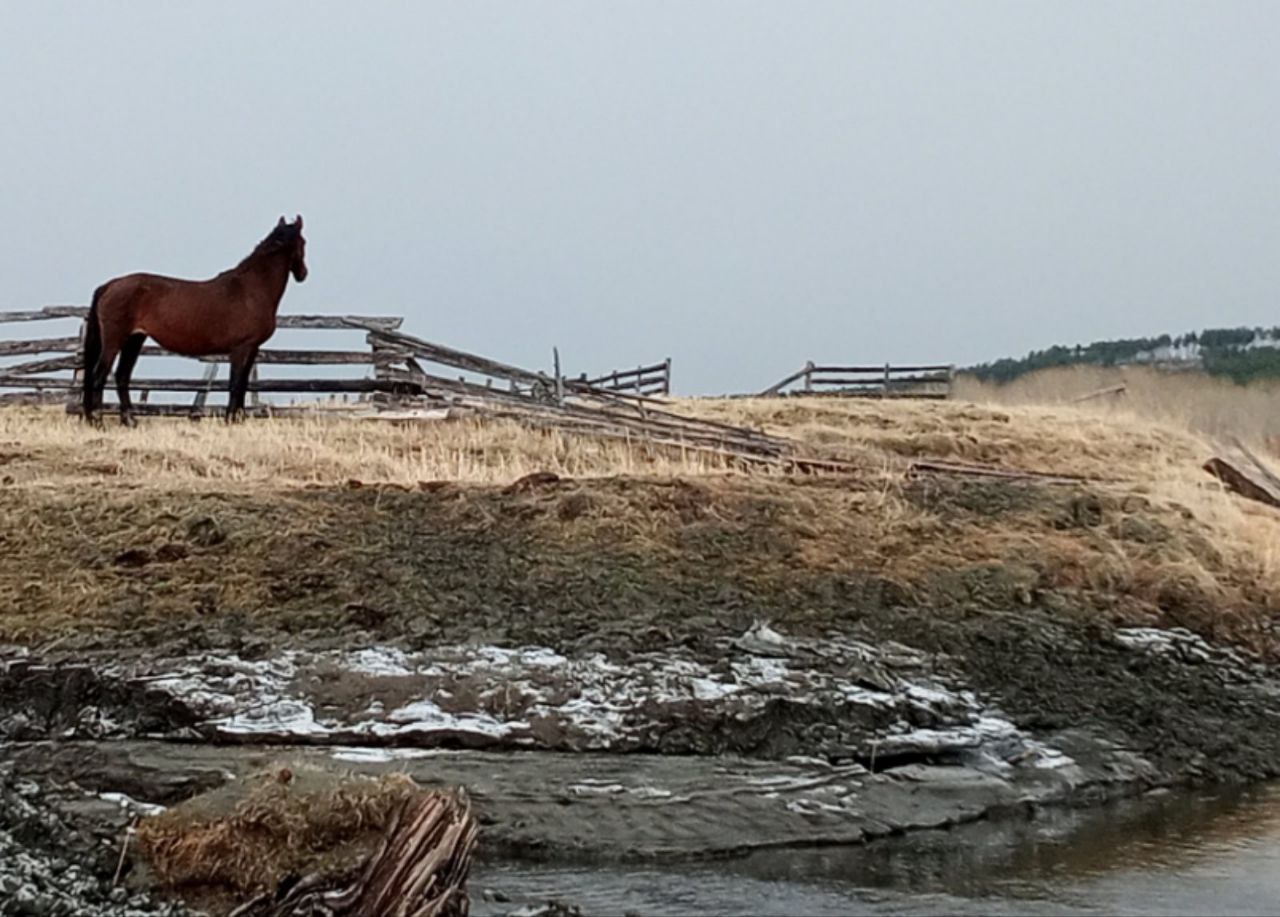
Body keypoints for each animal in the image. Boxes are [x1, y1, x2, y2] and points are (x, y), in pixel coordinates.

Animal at [81, 217, 307, 425]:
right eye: (303, 242)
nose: (303, 274)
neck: (252, 290)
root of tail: (109, 285)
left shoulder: (252, 349)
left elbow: (242, 385)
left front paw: (239, 420)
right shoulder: (240, 348)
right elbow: (235, 385)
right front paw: (230, 421)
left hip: (134, 339)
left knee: (122, 376)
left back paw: (130, 422)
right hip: (114, 340)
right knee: (99, 376)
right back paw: (98, 422)